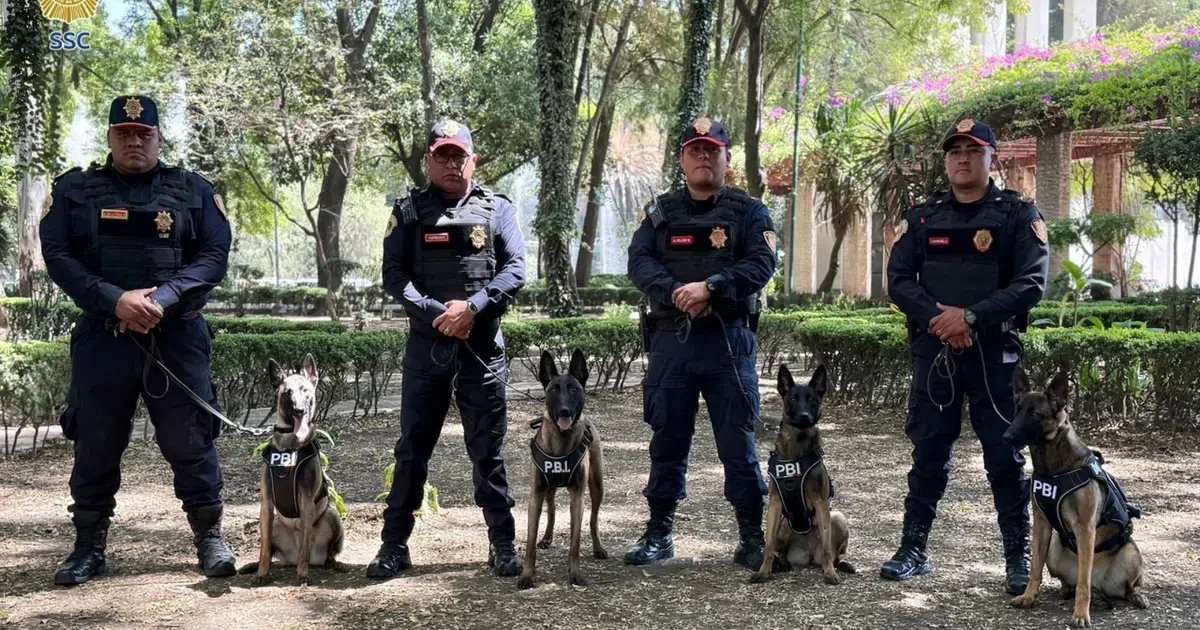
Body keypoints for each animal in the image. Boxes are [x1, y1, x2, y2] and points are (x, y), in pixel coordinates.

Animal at [239, 354, 346, 585]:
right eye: (287, 392)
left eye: (305, 390)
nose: (298, 410)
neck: (290, 445)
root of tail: (292, 557)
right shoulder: (266, 504)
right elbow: (263, 548)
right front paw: (261, 574)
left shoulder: (306, 501)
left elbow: (305, 543)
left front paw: (303, 575)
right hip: (275, 524)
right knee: (269, 549)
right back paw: (253, 567)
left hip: (332, 516)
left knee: (327, 554)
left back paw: (333, 563)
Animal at [517, 349, 606, 589]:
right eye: (554, 390)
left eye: (574, 389)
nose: (565, 410)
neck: (561, 442)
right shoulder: (535, 495)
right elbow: (530, 542)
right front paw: (527, 575)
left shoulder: (578, 496)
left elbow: (575, 542)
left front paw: (574, 573)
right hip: (549, 489)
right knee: (552, 509)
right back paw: (547, 537)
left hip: (597, 487)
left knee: (593, 520)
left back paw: (598, 547)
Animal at [751, 363, 855, 585]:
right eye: (792, 399)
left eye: (812, 400)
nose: (805, 416)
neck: (797, 447)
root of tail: (809, 555)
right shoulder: (774, 504)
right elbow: (768, 545)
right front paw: (764, 571)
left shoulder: (821, 503)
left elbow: (827, 549)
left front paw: (829, 574)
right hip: (783, 524)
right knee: (780, 550)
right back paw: (783, 563)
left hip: (837, 517)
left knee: (835, 555)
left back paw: (841, 565)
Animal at [1006, 370, 1147, 627]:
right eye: (1017, 410)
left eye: (1034, 414)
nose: (1006, 436)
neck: (1055, 468)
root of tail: (1100, 584)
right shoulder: (1041, 525)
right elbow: (1035, 569)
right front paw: (1029, 597)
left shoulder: (1084, 529)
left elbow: (1083, 582)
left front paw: (1081, 614)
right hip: (1053, 546)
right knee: (1072, 582)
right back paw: (1066, 590)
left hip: (1131, 553)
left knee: (1124, 586)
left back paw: (1136, 596)